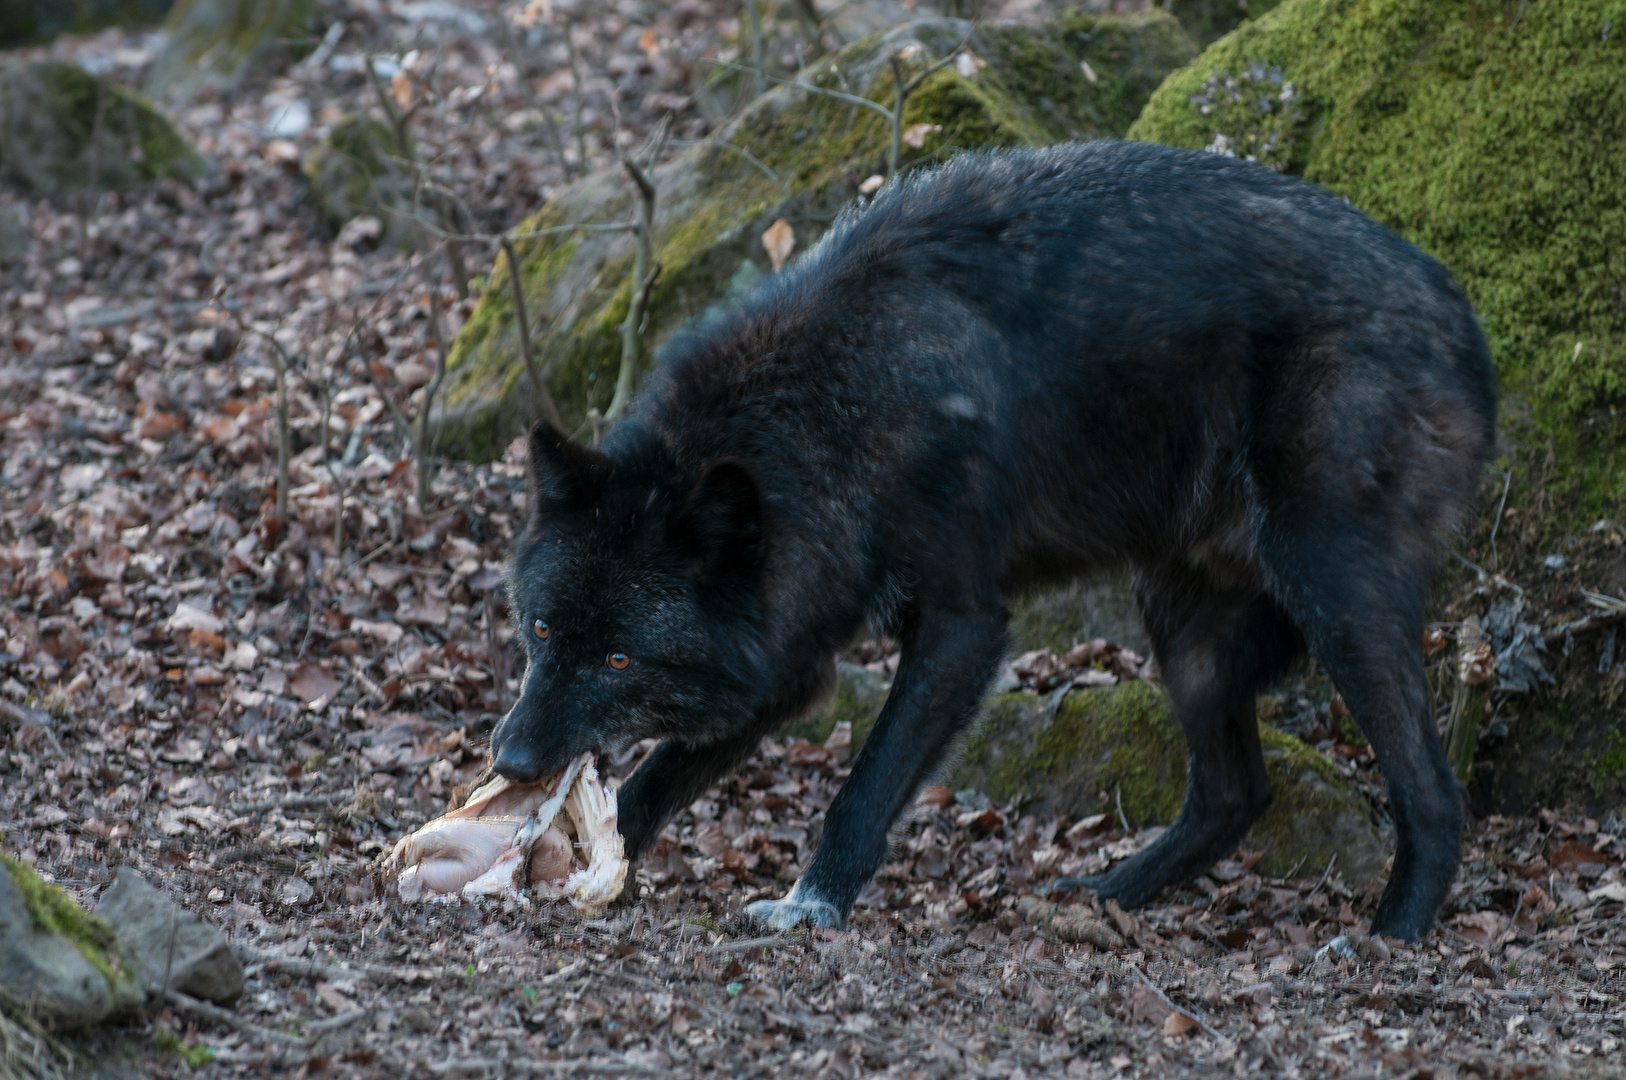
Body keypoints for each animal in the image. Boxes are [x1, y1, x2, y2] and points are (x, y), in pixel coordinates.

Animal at [494, 141, 1495, 936]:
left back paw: (1389, 936)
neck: (833, 408)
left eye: (620, 659)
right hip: (1187, 632)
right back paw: (1103, 897)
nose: (510, 759)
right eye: (541, 632)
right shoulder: (786, 653)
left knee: (1433, 793)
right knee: (1234, 793)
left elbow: (862, 791)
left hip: (1332, 598)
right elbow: (655, 781)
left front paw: (811, 907)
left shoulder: (963, 625)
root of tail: (1466, 319)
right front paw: (566, 866)